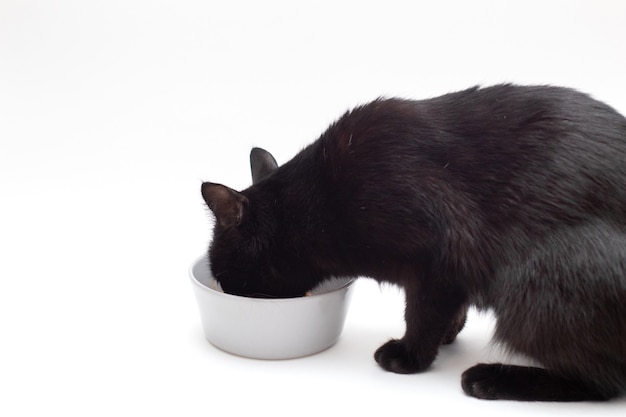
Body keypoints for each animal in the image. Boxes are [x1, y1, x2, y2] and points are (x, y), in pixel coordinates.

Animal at [201, 83, 624, 400]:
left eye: (226, 275)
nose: (227, 292)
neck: (319, 203)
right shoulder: (450, 277)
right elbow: (448, 310)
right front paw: (449, 333)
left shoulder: (437, 262)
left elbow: (421, 315)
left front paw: (409, 357)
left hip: (539, 288)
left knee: (602, 381)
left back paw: (491, 378)